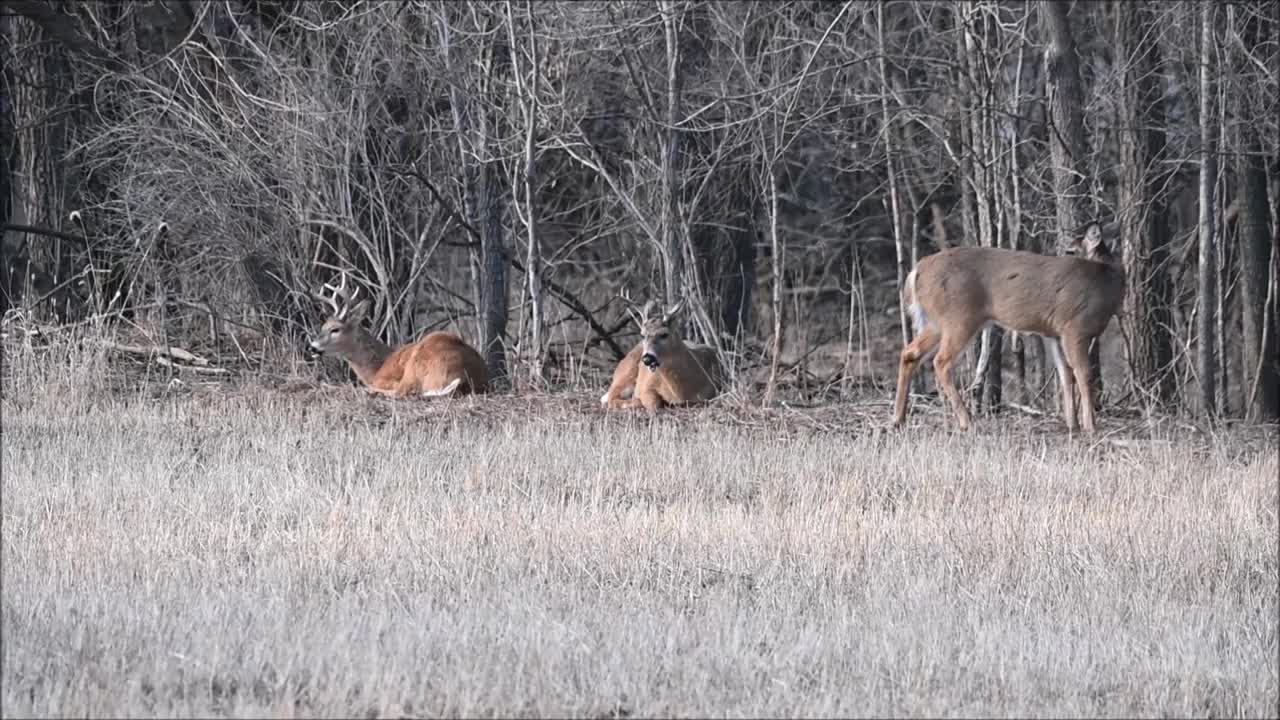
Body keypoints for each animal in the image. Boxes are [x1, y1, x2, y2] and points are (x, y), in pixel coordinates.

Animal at [305, 271, 488, 397]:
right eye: (323, 326)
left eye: (335, 329)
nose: (312, 347)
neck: (377, 365)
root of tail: (465, 375)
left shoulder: (385, 379)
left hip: (417, 363)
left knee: (403, 391)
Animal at [896, 221, 1126, 430]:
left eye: (1071, 249)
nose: (1059, 251)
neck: (1106, 284)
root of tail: (916, 270)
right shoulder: (1074, 327)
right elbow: (1083, 374)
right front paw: (1091, 427)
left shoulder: (1055, 333)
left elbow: (1065, 374)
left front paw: (1073, 425)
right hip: (959, 317)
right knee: (941, 361)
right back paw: (967, 422)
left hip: (937, 322)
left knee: (910, 352)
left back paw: (898, 419)